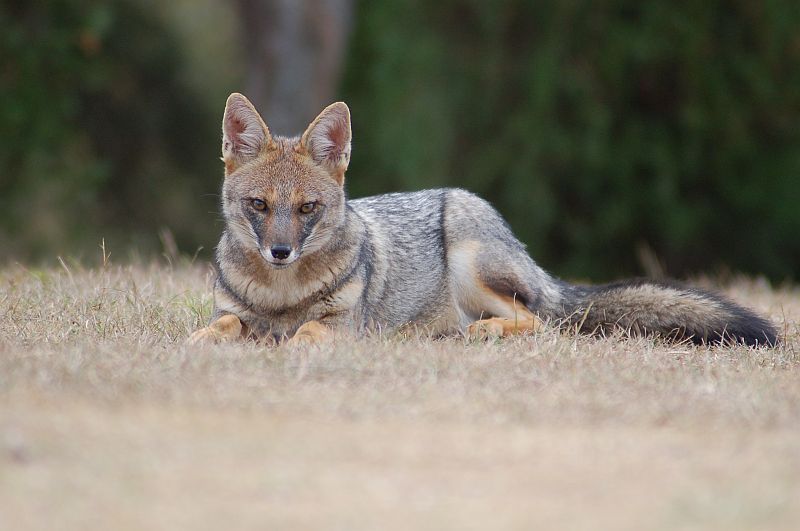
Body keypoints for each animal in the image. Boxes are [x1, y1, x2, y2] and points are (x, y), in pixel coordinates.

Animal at [188, 93, 776, 348]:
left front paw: (288, 343)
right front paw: (197, 344)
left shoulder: (345, 326)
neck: (281, 295)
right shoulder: (234, 312)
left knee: (542, 322)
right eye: (259, 206)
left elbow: (308, 330)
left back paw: (481, 332)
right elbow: (220, 325)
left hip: (471, 266)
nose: (280, 252)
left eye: (307, 208)